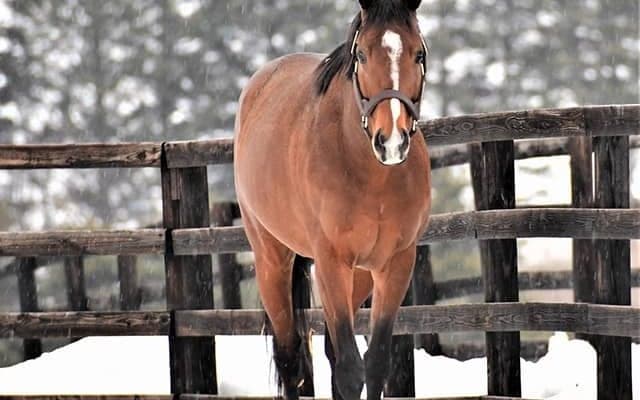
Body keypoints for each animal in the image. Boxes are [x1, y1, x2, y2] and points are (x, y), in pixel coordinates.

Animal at [233, 0, 431, 399]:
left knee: (326, 350)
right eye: (362, 54)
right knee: (290, 356)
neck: (373, 177)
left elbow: (375, 362)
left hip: (358, 275)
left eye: (418, 53)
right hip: (272, 259)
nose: (391, 141)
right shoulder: (331, 262)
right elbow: (351, 370)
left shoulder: (395, 264)